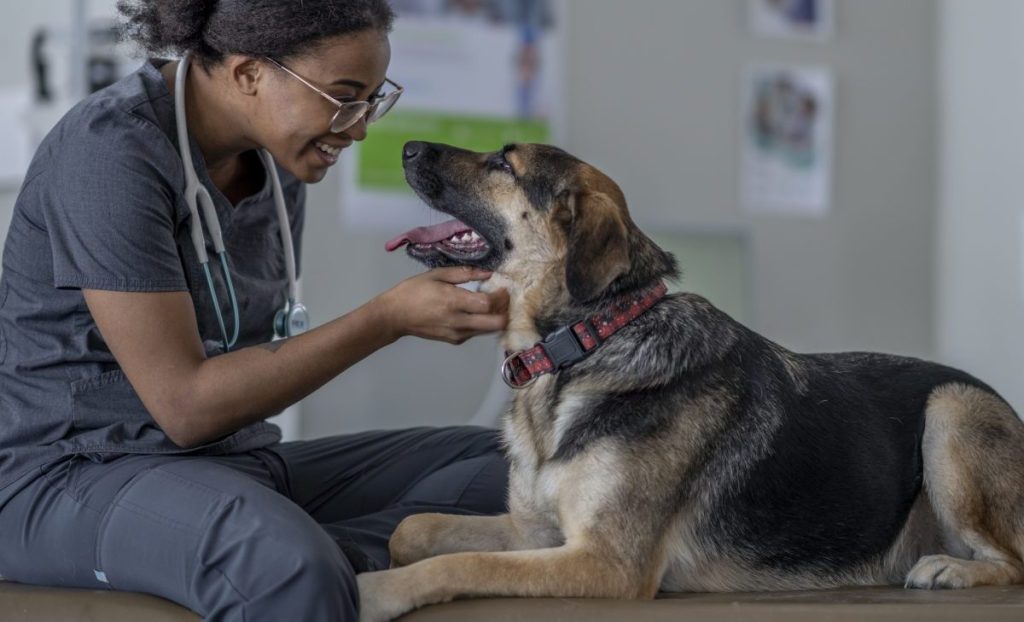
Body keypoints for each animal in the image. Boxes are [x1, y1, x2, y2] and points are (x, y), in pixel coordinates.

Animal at [360, 142, 1024, 622]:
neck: (590, 341)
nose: (408, 146)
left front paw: (374, 591)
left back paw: (951, 570)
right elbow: (413, 529)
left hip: (952, 410)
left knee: (1015, 559)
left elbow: (461, 565)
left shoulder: (606, 562)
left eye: (504, 163)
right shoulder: (535, 531)